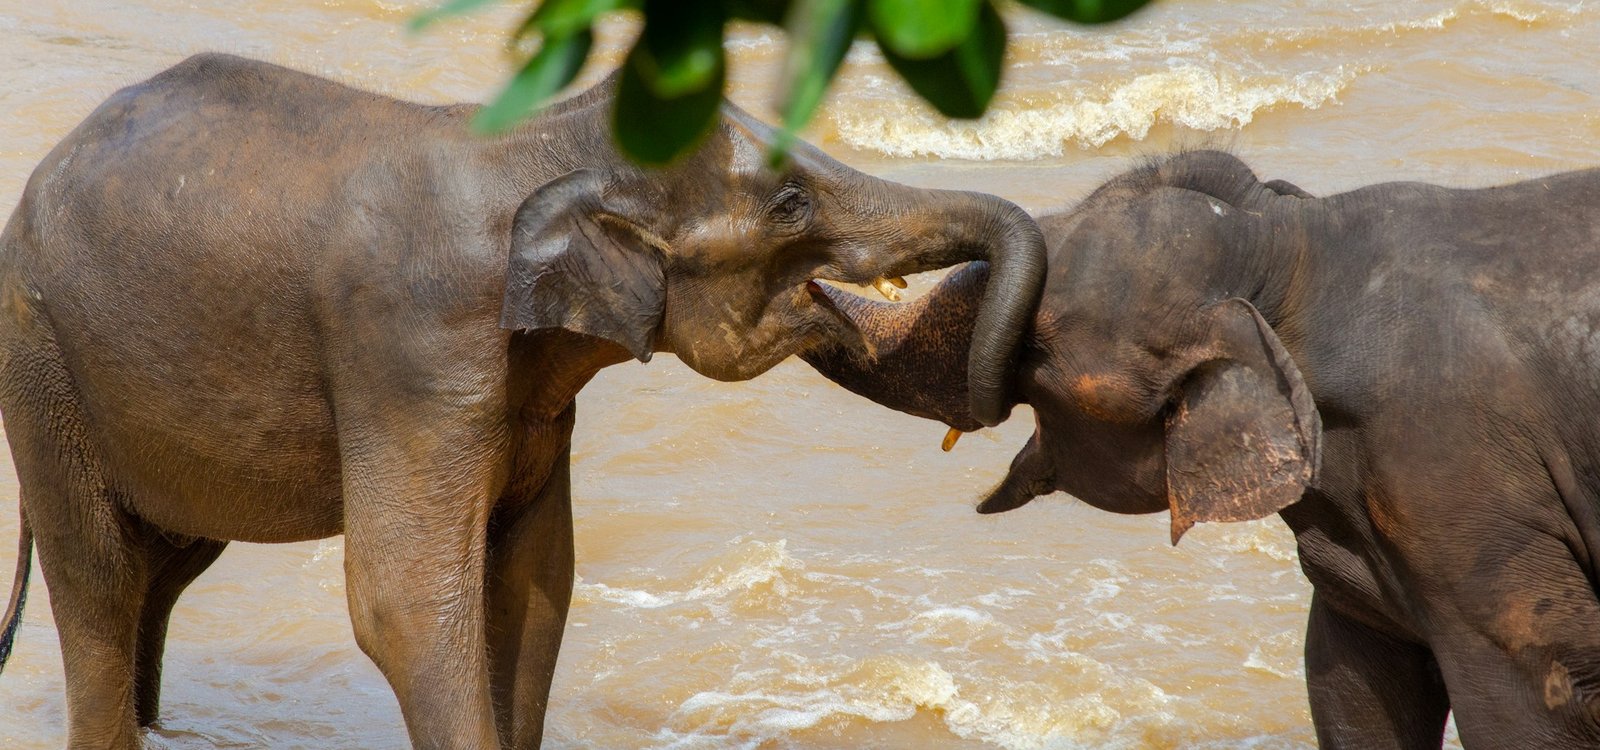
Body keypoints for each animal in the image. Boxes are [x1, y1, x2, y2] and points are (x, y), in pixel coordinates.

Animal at [0, 53, 1045, 749]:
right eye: (789, 205)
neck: (545, 140)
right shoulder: (412, 356)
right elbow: (405, 603)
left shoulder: (536, 396)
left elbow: (539, 582)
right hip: (42, 366)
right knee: (99, 582)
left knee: (165, 570)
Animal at [802, 149, 1600, 748]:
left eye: (1037, 349)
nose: (796, 280)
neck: (1293, 246)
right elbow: (1348, 684)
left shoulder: (1466, 497)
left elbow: (1527, 702)